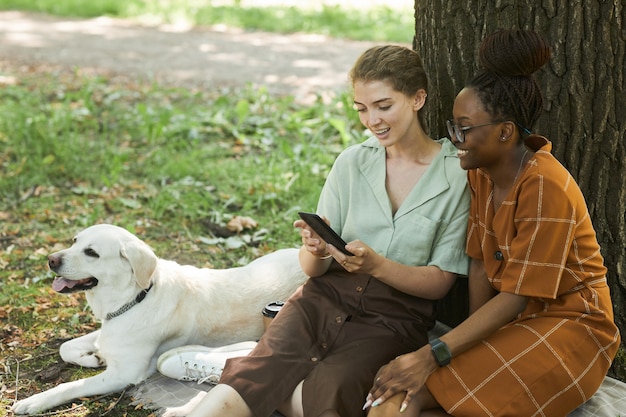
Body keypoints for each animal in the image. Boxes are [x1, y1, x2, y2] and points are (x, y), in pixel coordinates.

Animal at [11, 224, 308, 412]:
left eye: (92, 252)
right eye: (75, 241)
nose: (51, 260)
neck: (135, 296)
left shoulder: (125, 373)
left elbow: (69, 386)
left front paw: (33, 402)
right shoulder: (108, 329)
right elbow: (66, 346)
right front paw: (92, 358)